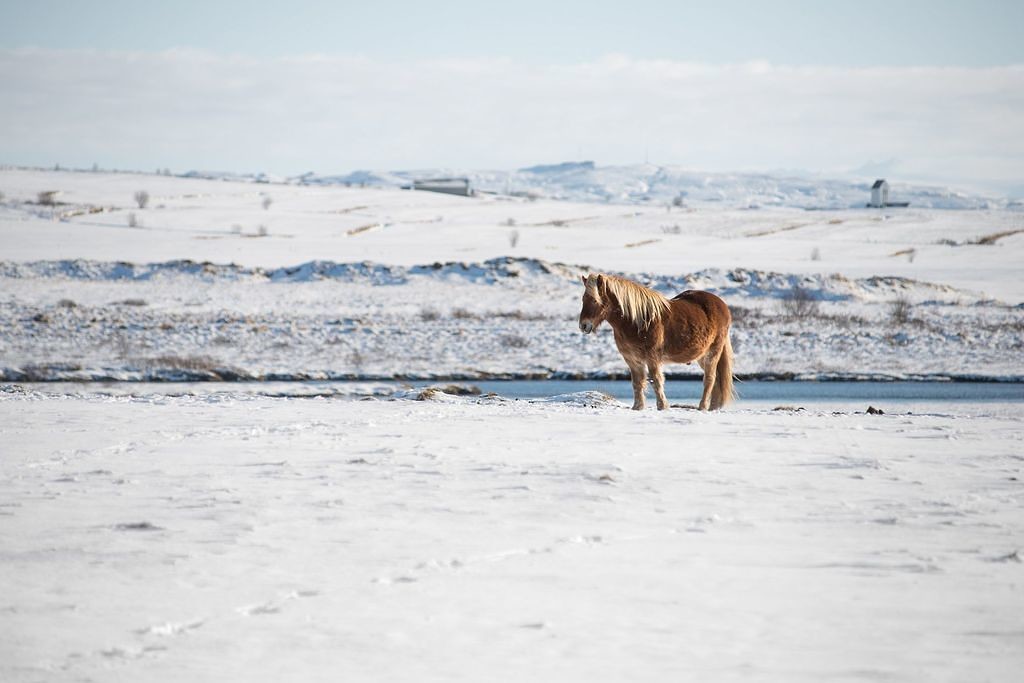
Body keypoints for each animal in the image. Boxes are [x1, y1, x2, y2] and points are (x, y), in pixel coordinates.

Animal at [577, 272, 737, 411]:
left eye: (594, 300)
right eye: (583, 299)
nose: (583, 325)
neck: (636, 321)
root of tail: (722, 305)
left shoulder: (652, 358)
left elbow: (656, 381)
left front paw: (662, 406)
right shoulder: (632, 360)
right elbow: (637, 383)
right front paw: (638, 407)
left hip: (712, 353)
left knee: (709, 379)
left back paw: (703, 407)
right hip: (701, 356)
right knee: (716, 380)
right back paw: (713, 407)